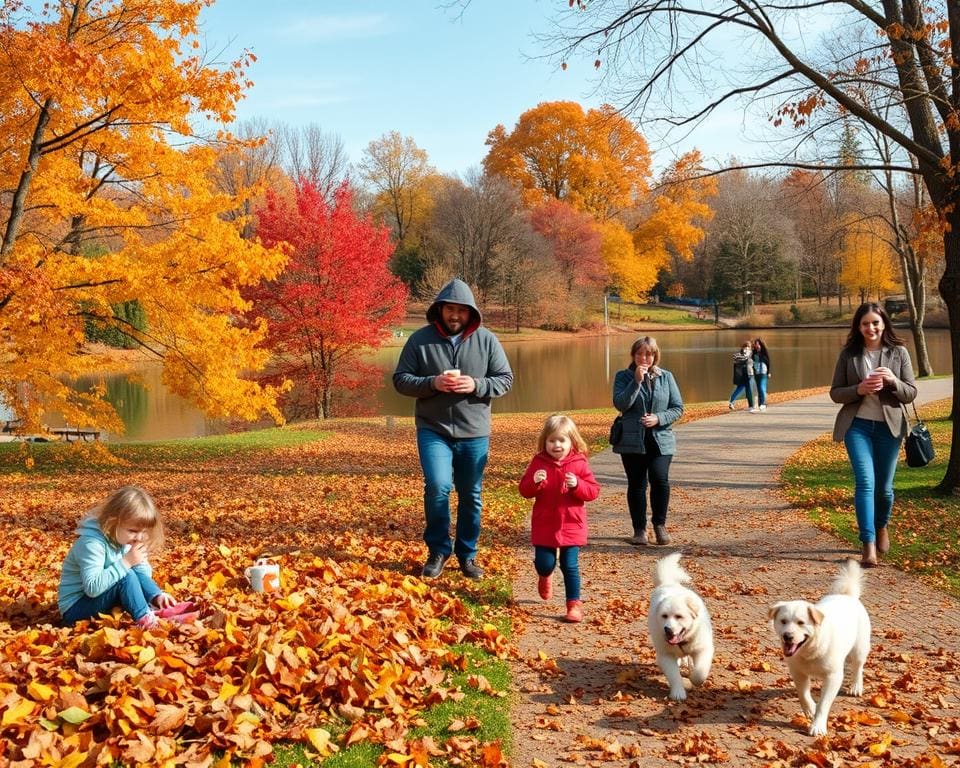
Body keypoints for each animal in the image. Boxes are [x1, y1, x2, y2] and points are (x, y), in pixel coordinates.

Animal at [644, 552, 712, 704]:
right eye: (664, 616)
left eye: (679, 616)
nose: (667, 629)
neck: (682, 642)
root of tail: (667, 583)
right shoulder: (666, 655)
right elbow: (674, 676)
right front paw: (678, 693)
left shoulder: (703, 649)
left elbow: (700, 672)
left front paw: (693, 679)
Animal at [768, 560, 872, 736]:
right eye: (783, 621)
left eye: (801, 622)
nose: (787, 636)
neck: (811, 650)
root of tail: (847, 596)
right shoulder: (798, 672)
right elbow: (803, 694)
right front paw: (810, 709)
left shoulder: (833, 677)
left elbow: (823, 704)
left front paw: (818, 726)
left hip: (859, 648)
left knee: (858, 667)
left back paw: (856, 687)